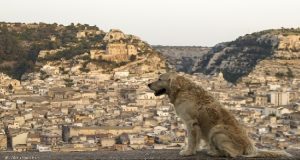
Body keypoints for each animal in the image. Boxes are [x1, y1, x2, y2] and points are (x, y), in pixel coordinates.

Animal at [149, 72, 292, 158]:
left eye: (160, 79)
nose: (148, 84)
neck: (181, 90)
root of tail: (251, 147)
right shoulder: (195, 125)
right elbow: (196, 140)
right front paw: (193, 150)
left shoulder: (191, 122)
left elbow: (191, 140)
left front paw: (188, 152)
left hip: (216, 130)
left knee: (234, 154)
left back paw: (215, 152)